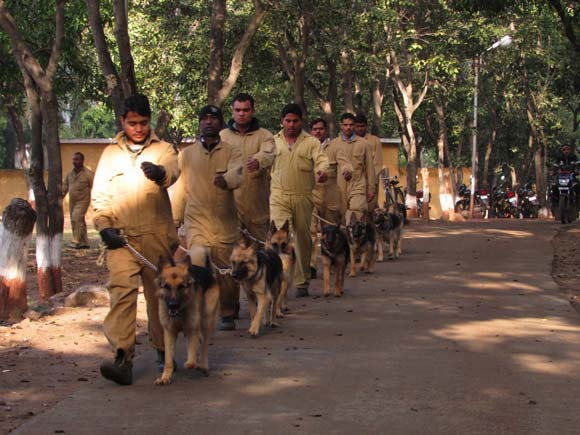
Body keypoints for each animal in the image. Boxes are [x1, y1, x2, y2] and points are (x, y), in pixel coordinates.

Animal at [154, 258, 218, 386]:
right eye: (166, 286)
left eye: (181, 287)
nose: (173, 305)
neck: (180, 312)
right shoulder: (169, 333)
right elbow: (168, 359)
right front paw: (165, 377)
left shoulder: (192, 329)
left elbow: (191, 361)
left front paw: (190, 363)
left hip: (207, 320)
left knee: (204, 345)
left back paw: (203, 366)